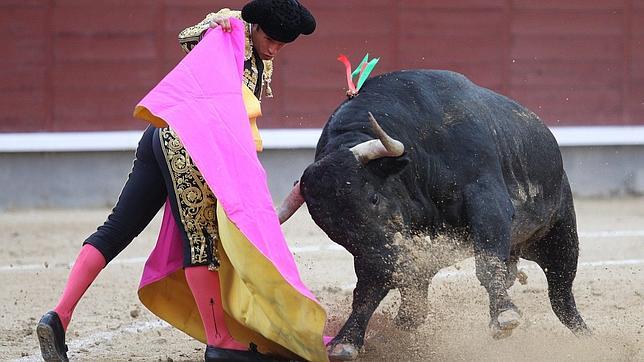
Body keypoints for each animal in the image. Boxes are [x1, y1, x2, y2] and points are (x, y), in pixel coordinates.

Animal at [276, 68, 588, 360]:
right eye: (333, 231)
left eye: (374, 198)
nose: (386, 267)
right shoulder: (383, 250)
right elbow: (368, 289)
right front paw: (346, 341)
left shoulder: (487, 198)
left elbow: (487, 263)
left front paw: (503, 314)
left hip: (560, 236)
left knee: (562, 297)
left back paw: (589, 339)